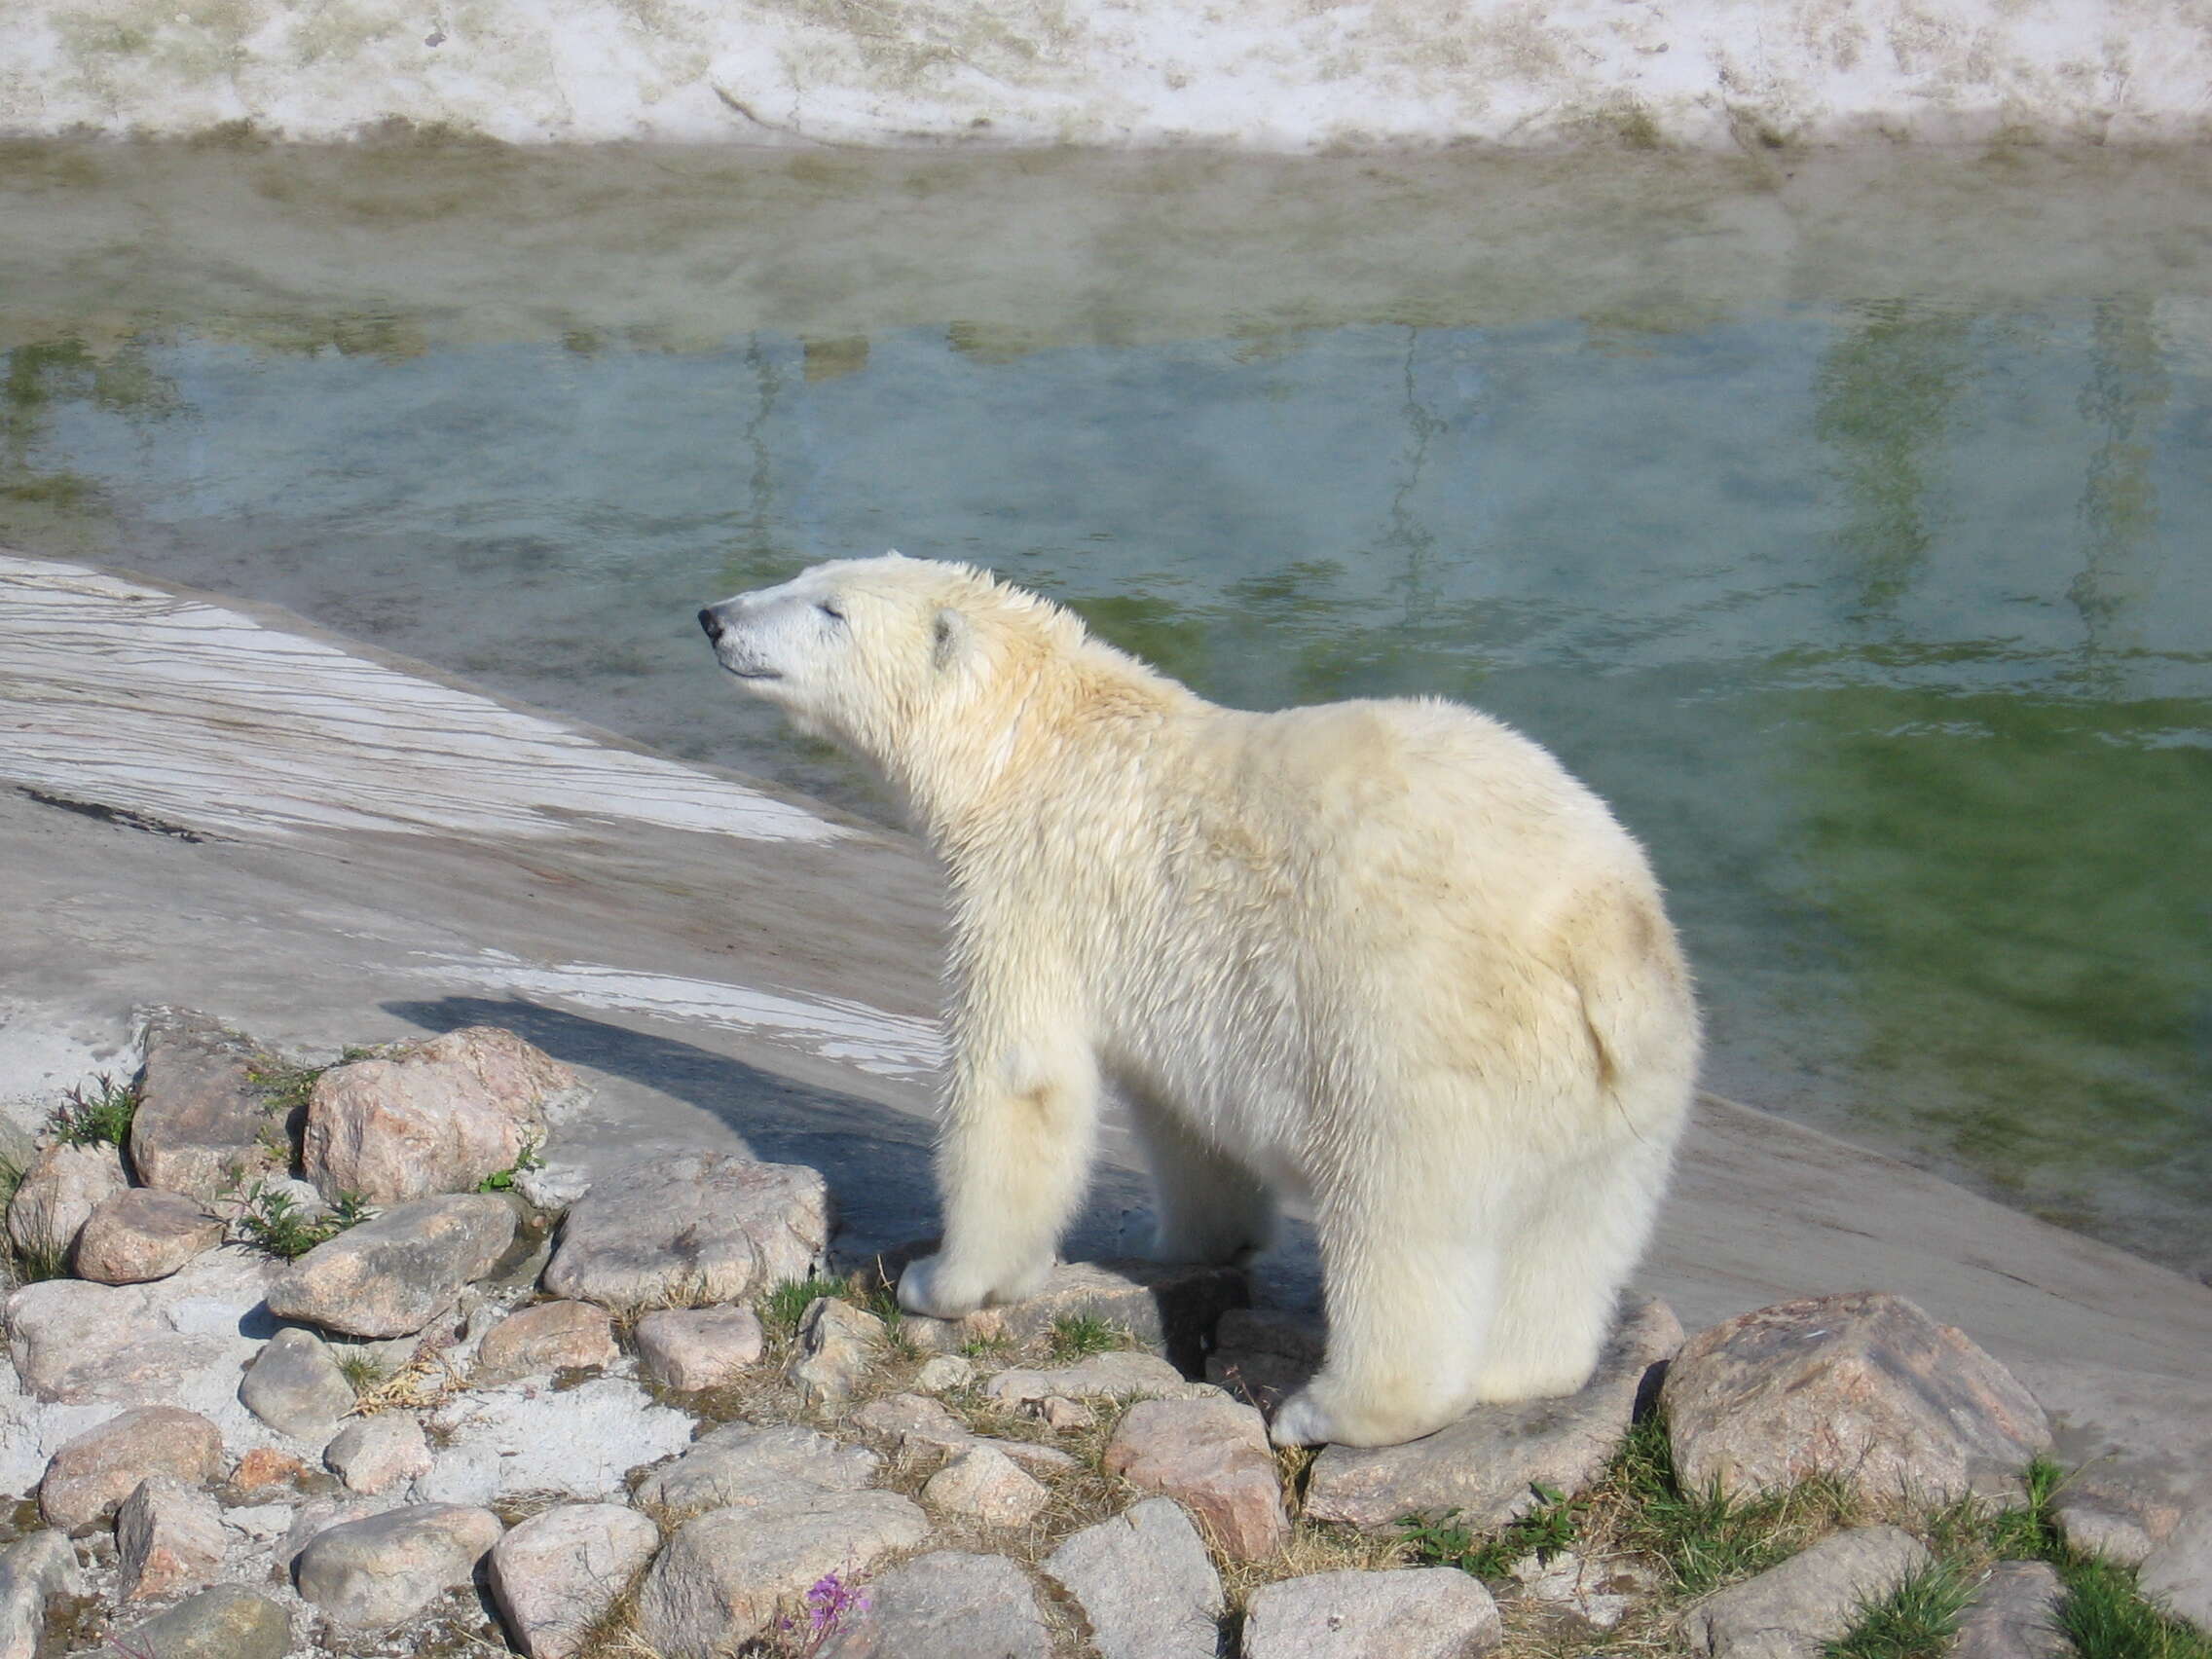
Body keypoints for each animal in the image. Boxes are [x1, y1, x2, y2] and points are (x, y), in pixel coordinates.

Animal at [698, 555, 1698, 1442]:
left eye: (828, 608)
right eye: (804, 575)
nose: (714, 616)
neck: (1033, 743)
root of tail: (1599, 935)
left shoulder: (1039, 887)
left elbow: (1020, 1080)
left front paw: (941, 1281)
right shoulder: (1178, 965)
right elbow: (1186, 1122)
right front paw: (1191, 1242)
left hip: (1417, 1031)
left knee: (1402, 1218)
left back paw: (1334, 1409)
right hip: (1626, 1079)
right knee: (1575, 1228)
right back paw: (1523, 1368)